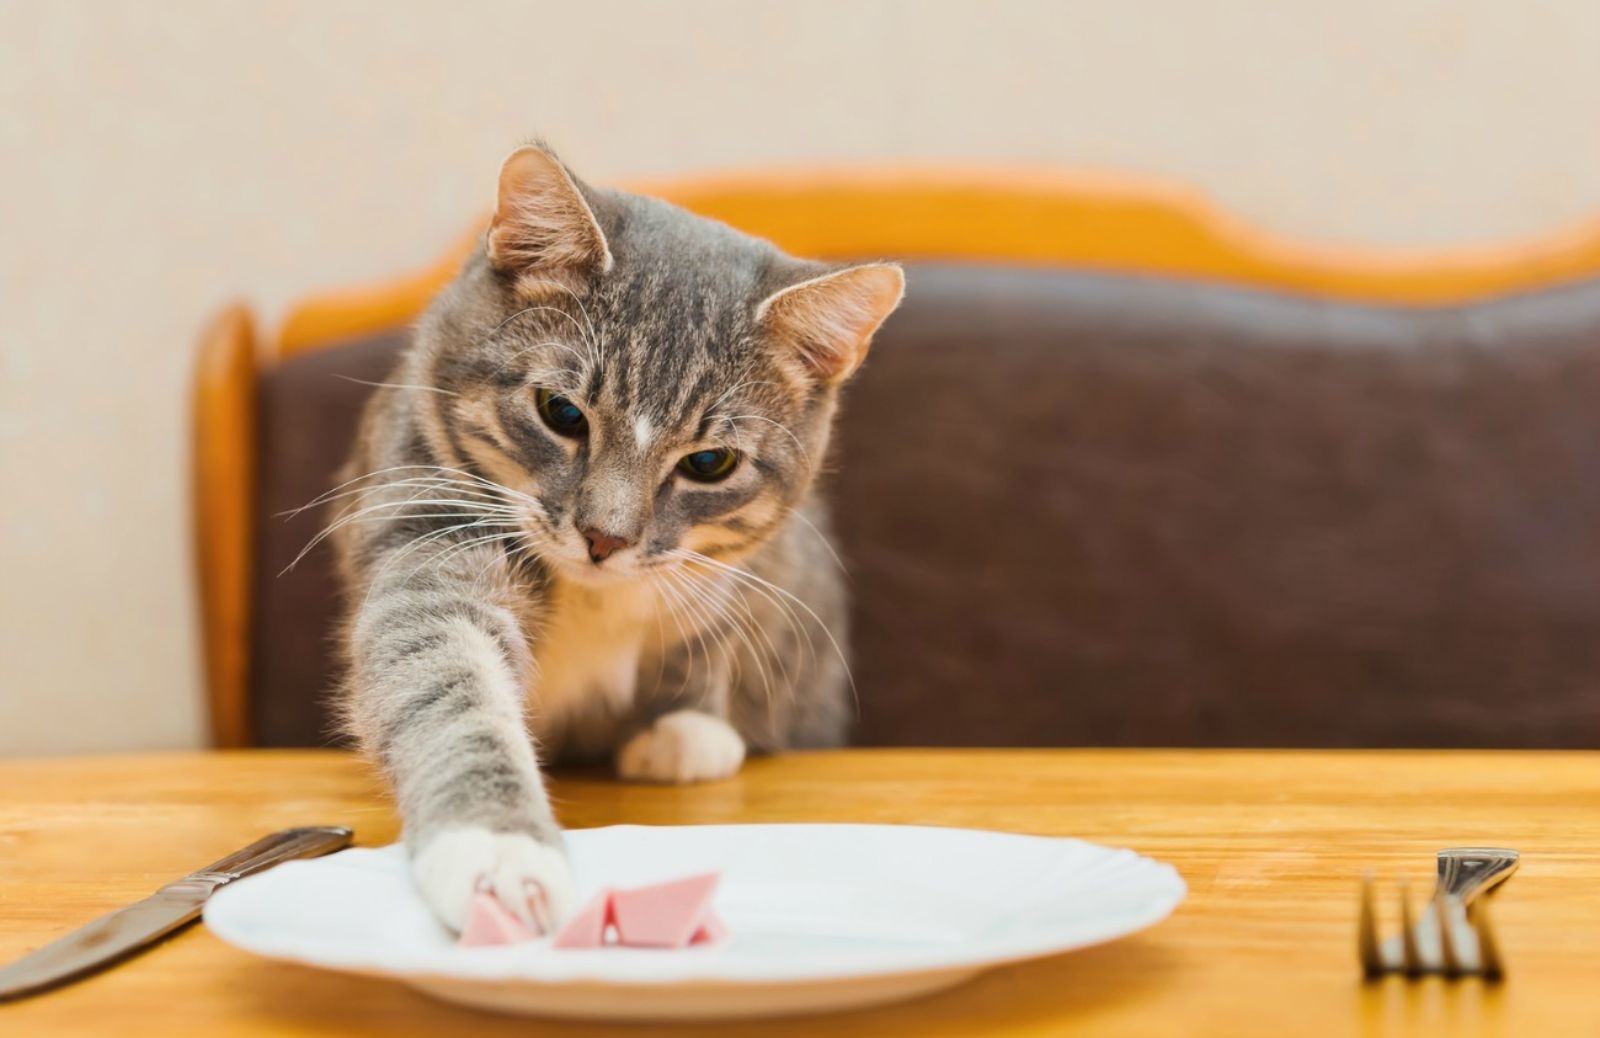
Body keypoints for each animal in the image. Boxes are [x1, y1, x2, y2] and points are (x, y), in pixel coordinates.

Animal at [328, 143, 902, 934]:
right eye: (561, 411)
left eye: (709, 463)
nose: (605, 537)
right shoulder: (430, 521)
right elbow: (445, 683)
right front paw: (497, 849)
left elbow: (710, 632)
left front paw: (684, 725)